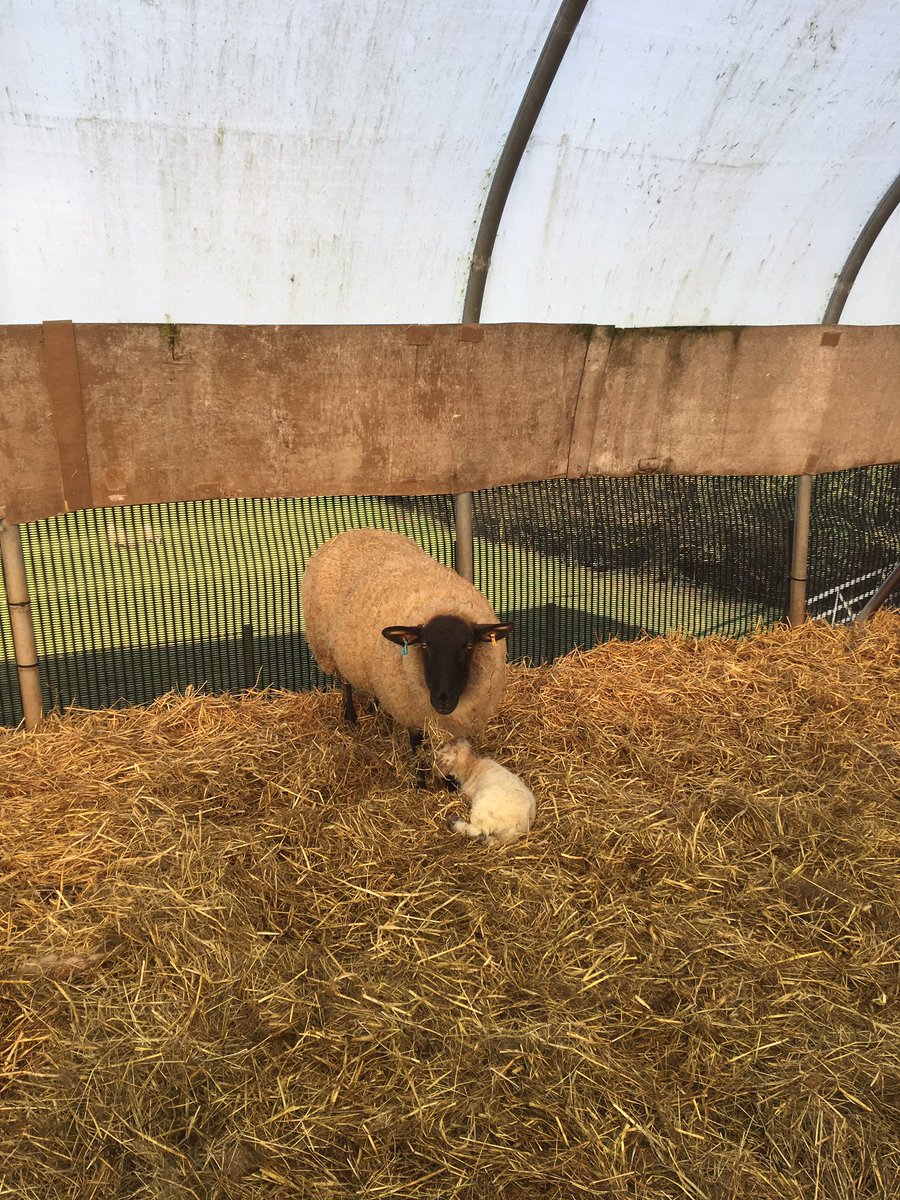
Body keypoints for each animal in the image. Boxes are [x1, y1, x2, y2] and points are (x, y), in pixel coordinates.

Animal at [301, 529, 513, 773]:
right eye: (424, 645)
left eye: (468, 645)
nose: (443, 699)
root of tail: (352, 531)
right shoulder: (411, 712)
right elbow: (417, 749)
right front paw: (421, 777)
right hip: (328, 649)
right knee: (344, 683)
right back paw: (351, 718)